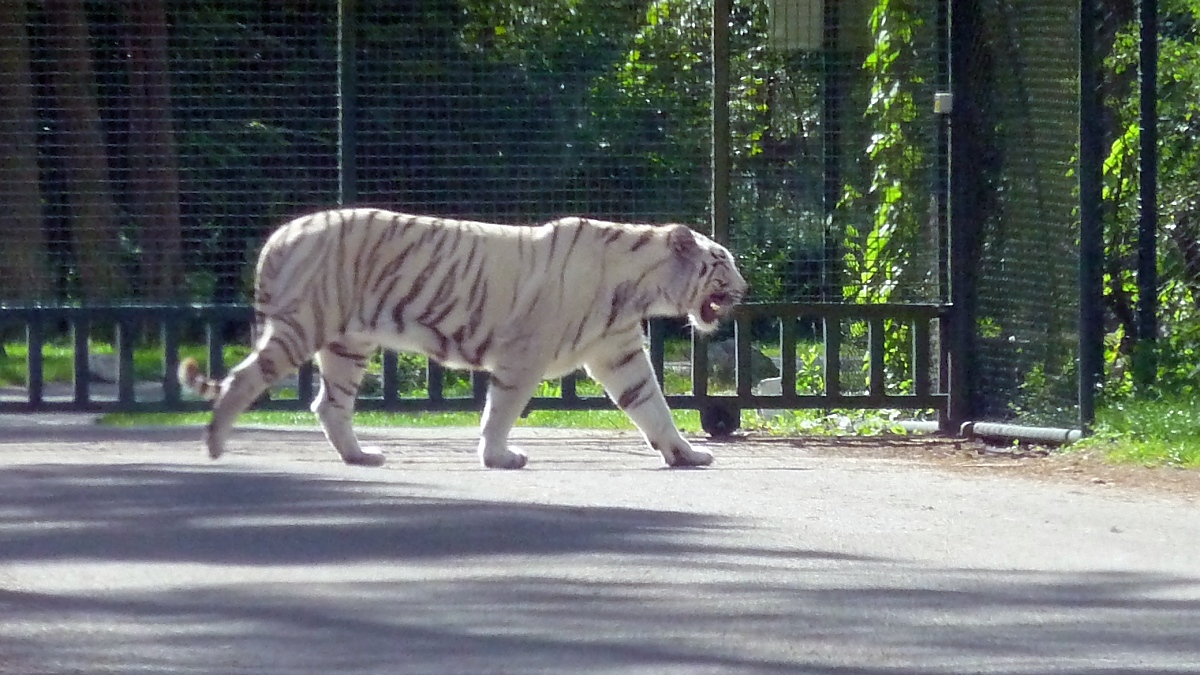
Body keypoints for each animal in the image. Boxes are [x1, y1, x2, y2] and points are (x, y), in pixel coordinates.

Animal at [177, 208, 744, 468]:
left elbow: (653, 405)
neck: (638, 289)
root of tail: (282, 234)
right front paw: (499, 457)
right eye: (722, 264)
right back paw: (214, 444)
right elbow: (502, 409)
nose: (746, 288)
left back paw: (360, 456)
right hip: (302, 324)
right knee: (243, 378)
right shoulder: (524, 355)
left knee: (328, 404)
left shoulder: (620, 353)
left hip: (347, 344)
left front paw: (686, 454)